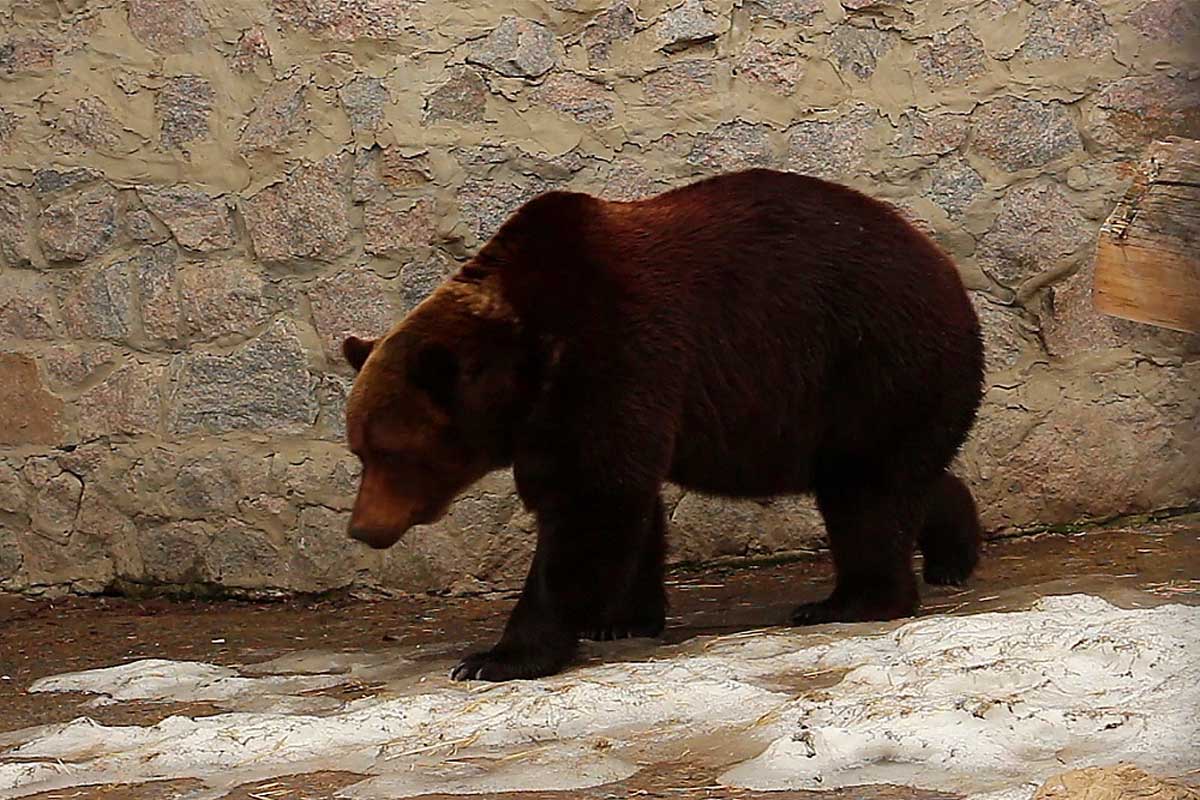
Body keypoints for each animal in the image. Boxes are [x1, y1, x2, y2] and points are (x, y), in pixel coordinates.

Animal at [340, 169, 984, 681]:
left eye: (390, 451)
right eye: (359, 451)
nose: (362, 528)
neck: (522, 360)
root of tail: (949, 271)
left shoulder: (608, 354)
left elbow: (592, 498)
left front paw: (496, 657)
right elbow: (628, 503)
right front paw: (621, 619)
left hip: (869, 363)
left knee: (866, 491)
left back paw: (850, 600)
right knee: (902, 478)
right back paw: (951, 555)